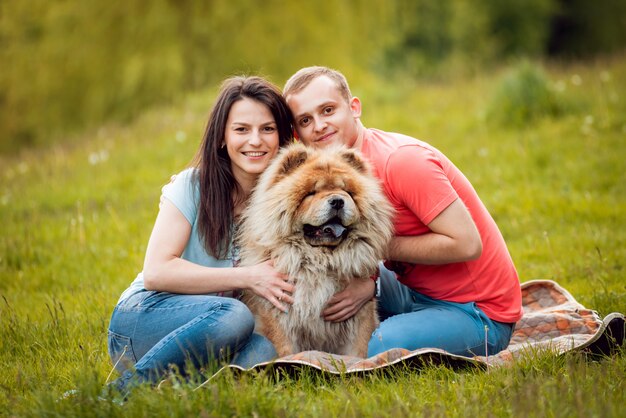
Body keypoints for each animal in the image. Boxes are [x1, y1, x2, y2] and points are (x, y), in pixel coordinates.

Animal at [238, 143, 390, 356]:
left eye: (346, 191)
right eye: (310, 193)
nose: (337, 201)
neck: (318, 263)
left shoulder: (358, 317)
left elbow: (358, 352)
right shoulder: (279, 315)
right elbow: (286, 351)